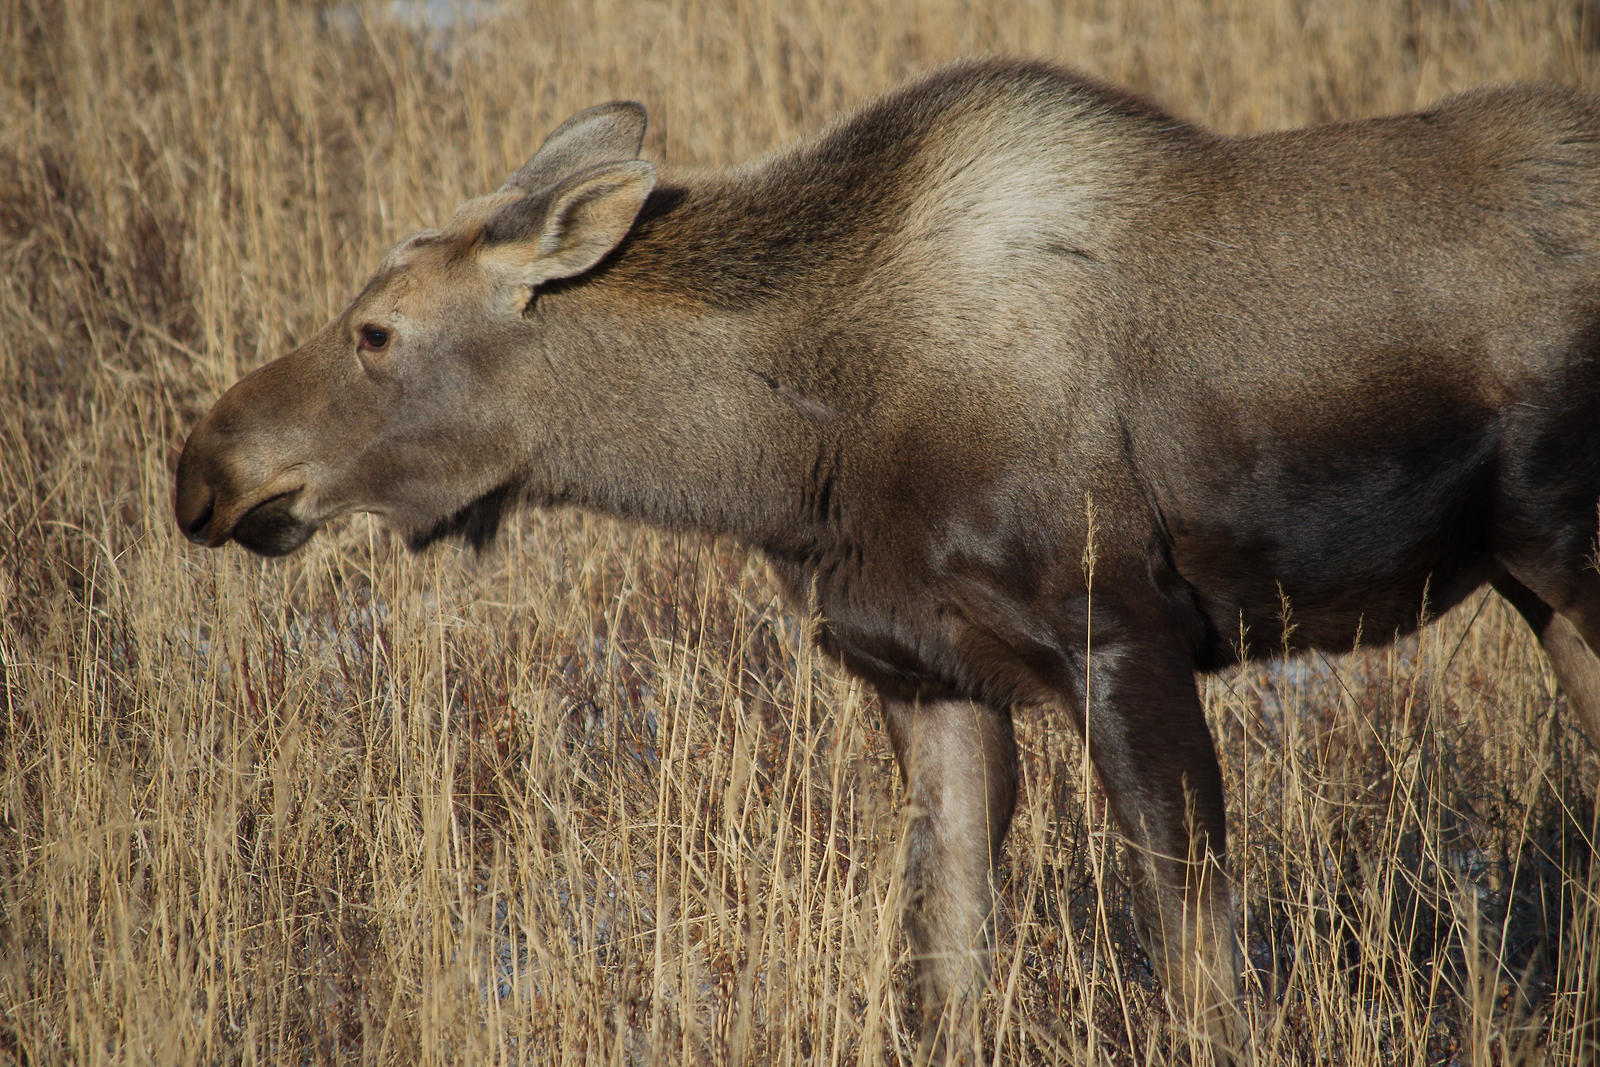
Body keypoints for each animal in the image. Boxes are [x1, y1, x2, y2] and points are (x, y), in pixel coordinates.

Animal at [175, 60, 1600, 1062]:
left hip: (1566, 555)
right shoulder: (926, 676)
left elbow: (1198, 960)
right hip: (1537, 584)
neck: (790, 453)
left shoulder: (1120, 632)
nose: (205, 469)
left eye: (375, 331)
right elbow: (945, 968)